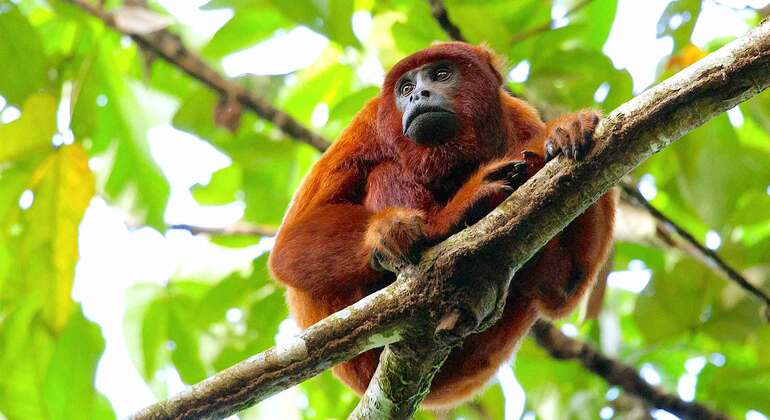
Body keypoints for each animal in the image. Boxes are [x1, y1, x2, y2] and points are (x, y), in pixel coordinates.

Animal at [268, 44, 616, 408]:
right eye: (405, 88)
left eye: (441, 74)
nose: (418, 95)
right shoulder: (367, 125)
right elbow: (287, 249)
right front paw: (397, 231)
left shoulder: (521, 119)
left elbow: (563, 287)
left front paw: (568, 129)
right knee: (386, 170)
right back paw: (444, 224)